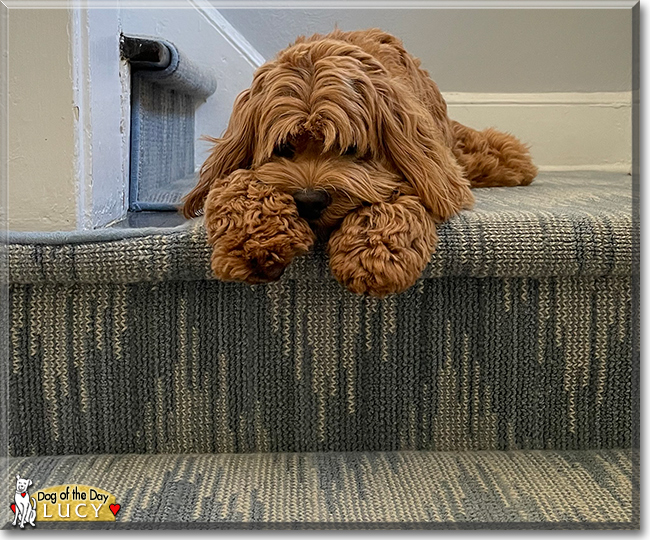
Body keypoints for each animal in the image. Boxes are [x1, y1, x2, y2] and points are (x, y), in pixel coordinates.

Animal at [182, 28, 536, 298]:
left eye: (350, 147)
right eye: (283, 147)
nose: (310, 201)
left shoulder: (428, 167)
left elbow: (398, 197)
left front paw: (371, 256)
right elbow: (234, 183)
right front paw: (255, 242)